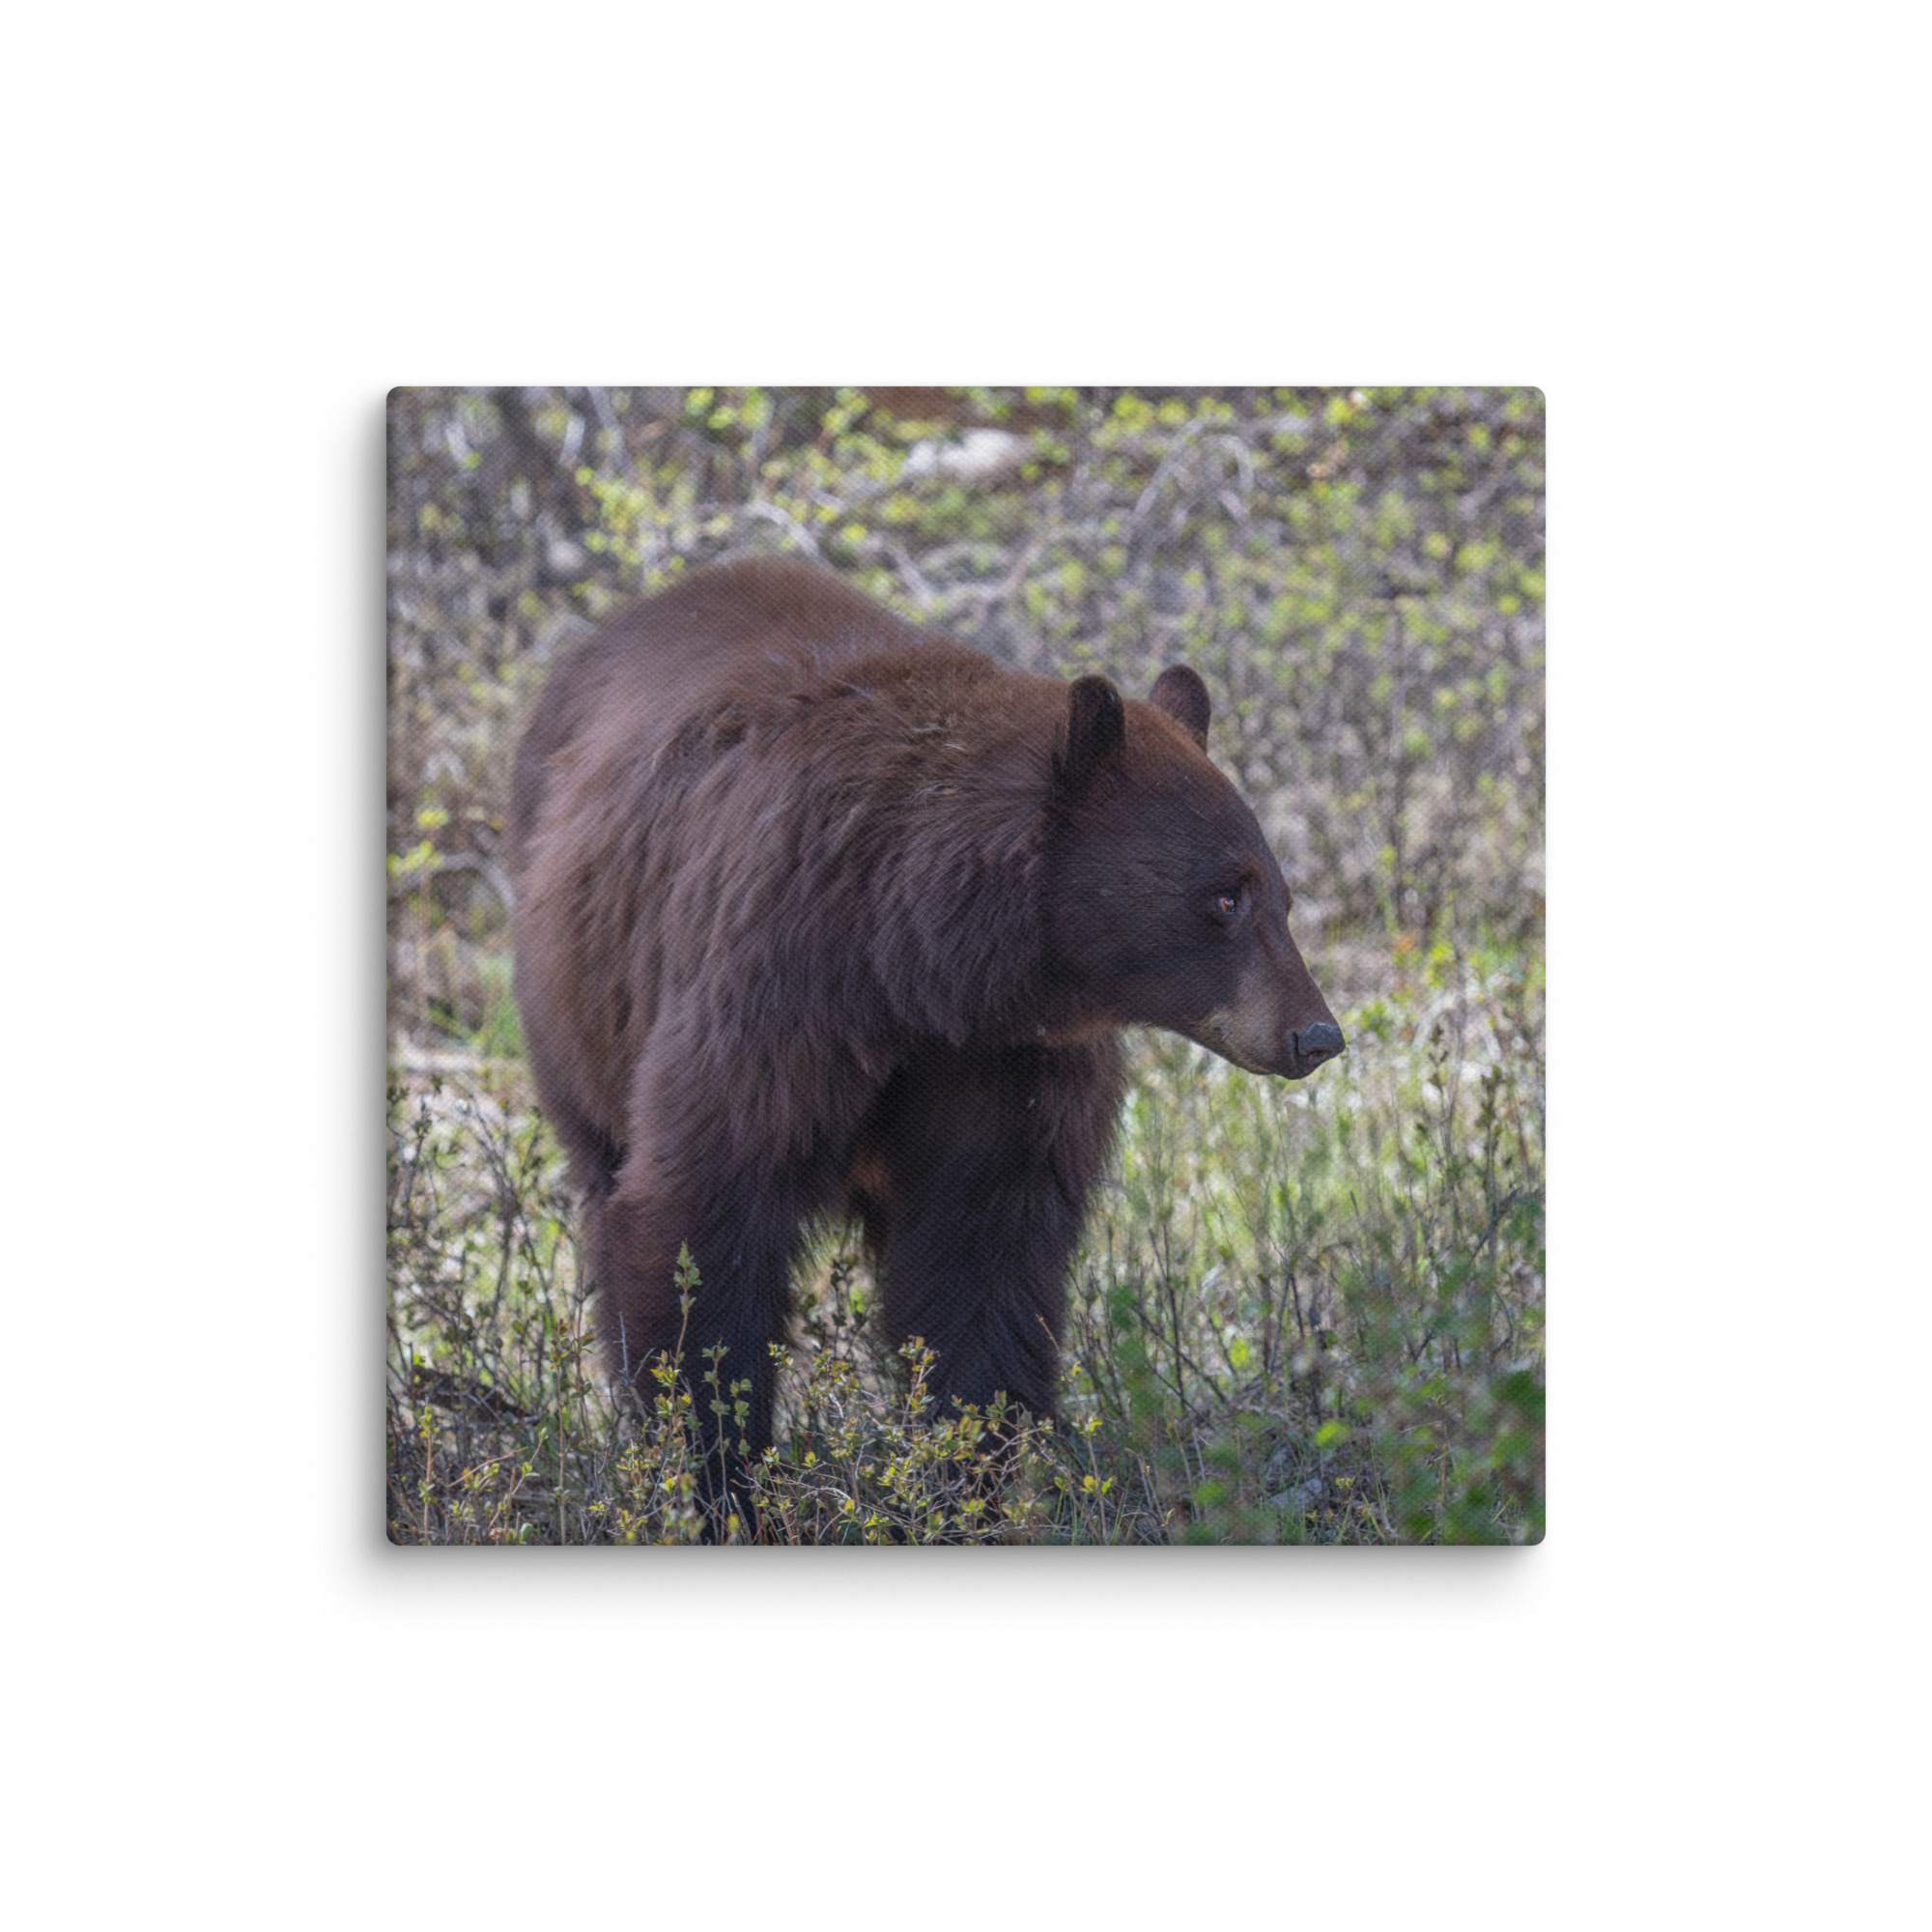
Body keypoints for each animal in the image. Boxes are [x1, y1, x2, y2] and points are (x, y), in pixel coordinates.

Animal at [507, 556, 1342, 1506]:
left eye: (1279, 895)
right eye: (1226, 897)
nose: (1315, 1035)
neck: (918, 963)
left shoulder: (1007, 1063)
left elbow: (983, 1255)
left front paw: (959, 1473)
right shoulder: (778, 990)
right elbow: (704, 1210)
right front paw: (717, 1474)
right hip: (579, 1007)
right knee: (604, 1172)